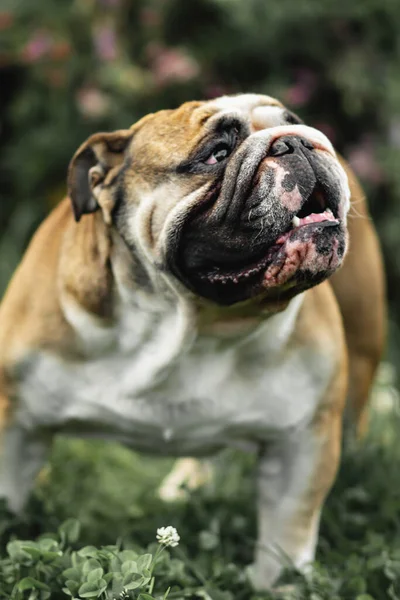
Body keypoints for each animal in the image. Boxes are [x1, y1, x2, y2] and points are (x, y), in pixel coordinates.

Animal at [0, 92, 384, 584]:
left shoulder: (302, 440)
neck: (187, 322)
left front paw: (278, 586)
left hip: (361, 355)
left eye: (294, 122)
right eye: (216, 154)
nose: (297, 140)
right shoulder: (16, 425)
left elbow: (286, 536)